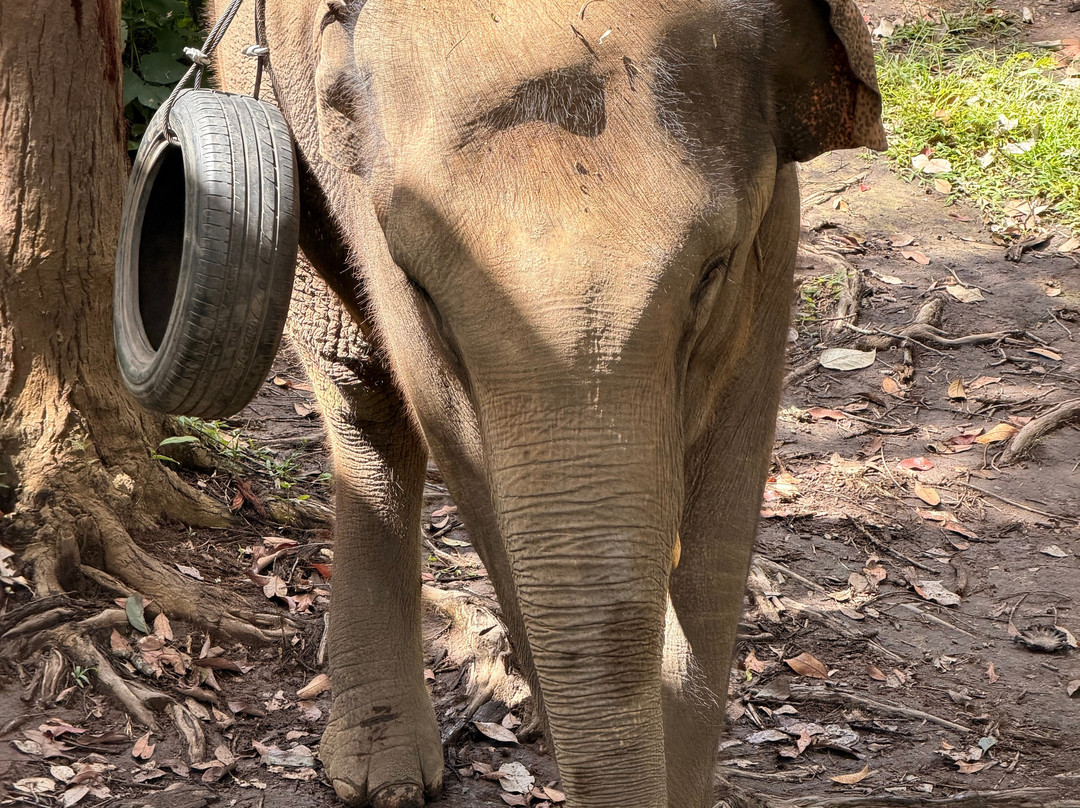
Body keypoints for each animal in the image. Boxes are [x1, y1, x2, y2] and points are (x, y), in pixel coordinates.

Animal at [208, 1, 885, 806]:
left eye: (710, 274)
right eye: (425, 293)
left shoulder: (773, 229)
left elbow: (724, 503)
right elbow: (469, 465)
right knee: (358, 386)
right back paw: (382, 773)